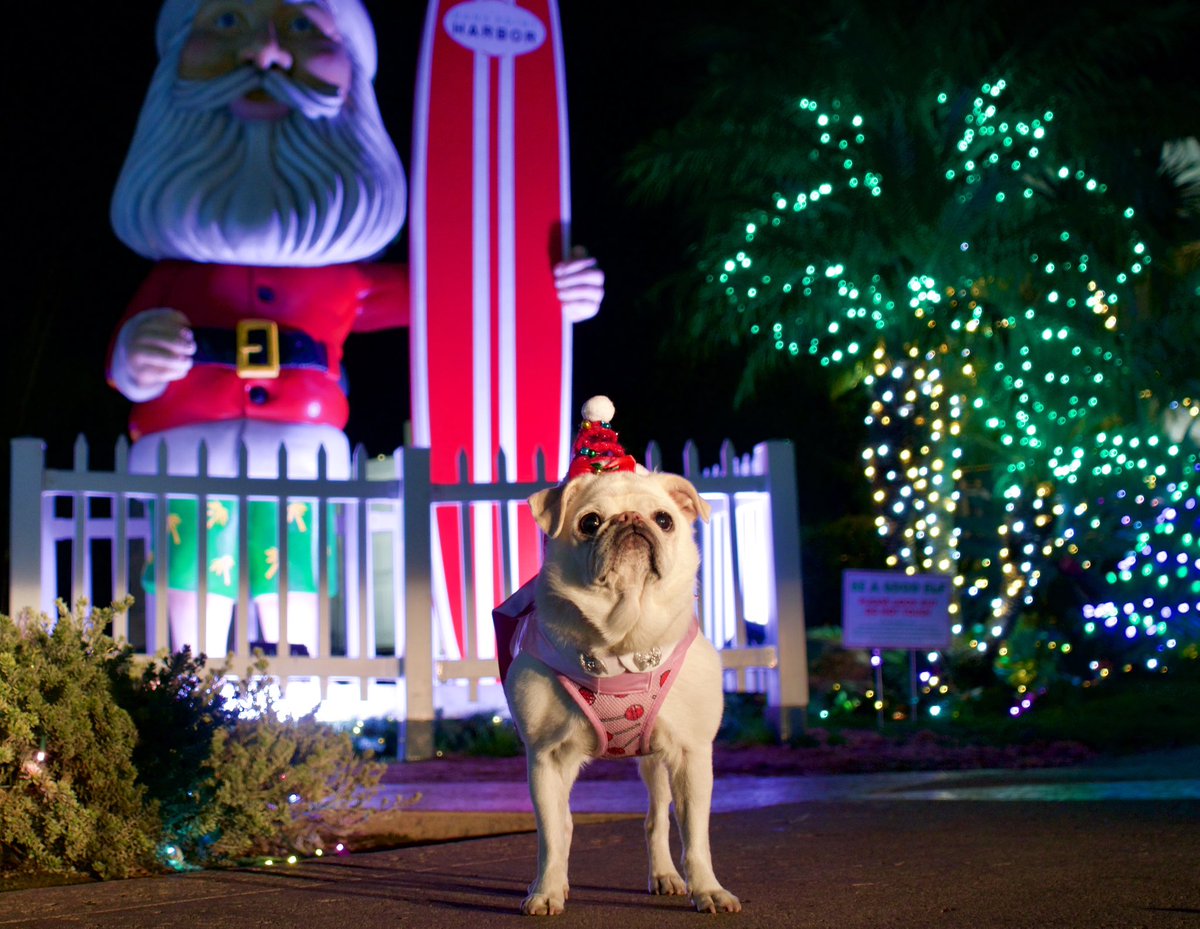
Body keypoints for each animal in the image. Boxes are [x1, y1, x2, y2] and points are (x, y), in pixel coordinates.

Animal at [499, 472, 739, 916]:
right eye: (590, 522)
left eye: (664, 519)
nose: (630, 520)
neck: (623, 639)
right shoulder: (546, 757)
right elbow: (551, 835)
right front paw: (546, 890)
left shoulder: (691, 755)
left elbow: (696, 837)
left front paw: (708, 890)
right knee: (564, 824)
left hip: (657, 762)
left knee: (657, 819)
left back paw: (665, 875)